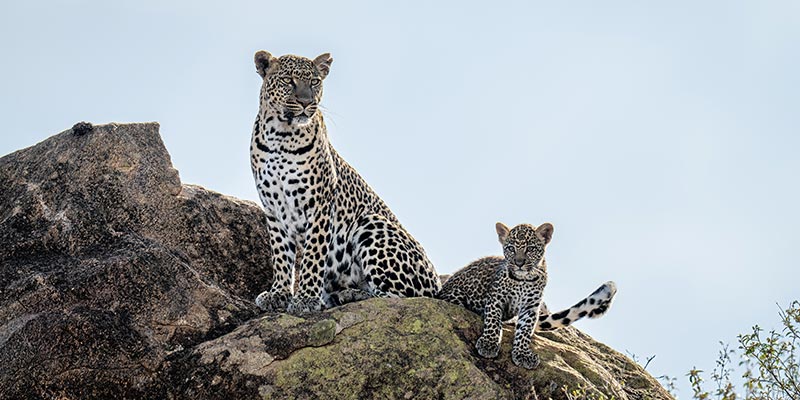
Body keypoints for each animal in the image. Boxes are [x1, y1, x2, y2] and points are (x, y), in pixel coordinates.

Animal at [250, 51, 441, 315]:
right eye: (288, 80)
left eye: (315, 82)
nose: (306, 103)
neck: (280, 135)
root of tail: (438, 284)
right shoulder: (273, 209)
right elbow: (280, 255)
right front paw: (278, 294)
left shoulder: (319, 205)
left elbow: (312, 255)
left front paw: (306, 299)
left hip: (371, 223)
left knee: (399, 297)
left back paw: (349, 294)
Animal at [437, 222, 617, 369]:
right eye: (511, 248)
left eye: (530, 249)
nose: (519, 263)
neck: (524, 280)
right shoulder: (496, 298)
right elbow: (493, 321)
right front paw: (489, 344)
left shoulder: (531, 306)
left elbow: (525, 330)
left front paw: (523, 355)